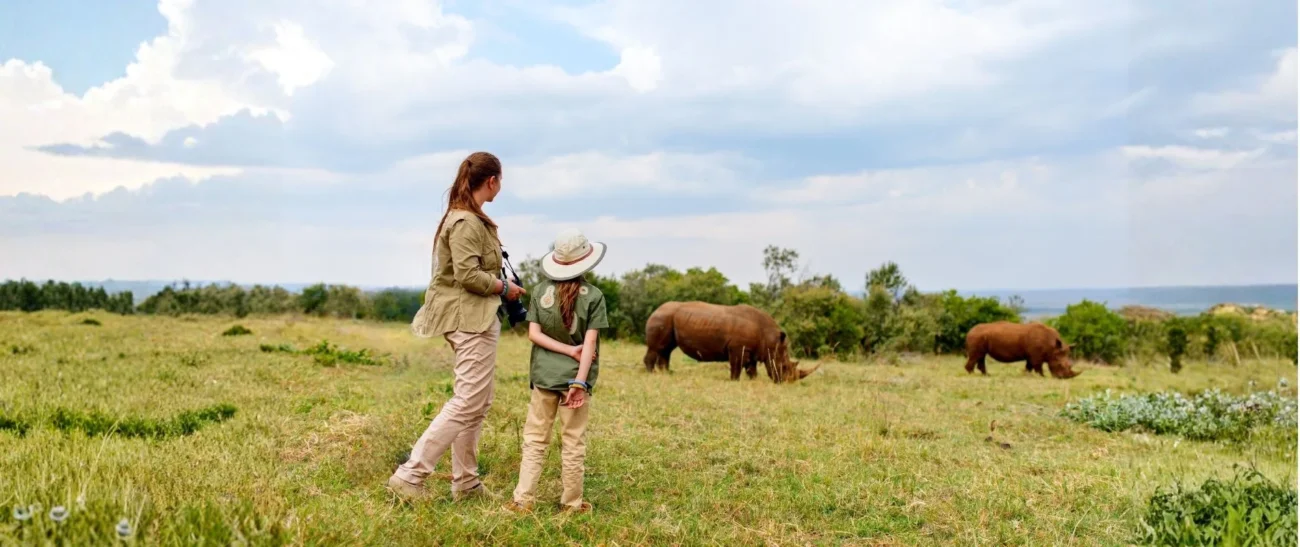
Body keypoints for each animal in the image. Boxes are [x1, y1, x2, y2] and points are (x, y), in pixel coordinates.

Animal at [643, 301, 820, 383]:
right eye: (783, 367)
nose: (786, 382)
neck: (770, 338)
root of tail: (656, 309)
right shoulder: (738, 348)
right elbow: (736, 366)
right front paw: (734, 381)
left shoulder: (752, 350)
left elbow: (751, 369)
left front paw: (753, 381)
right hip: (662, 317)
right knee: (657, 348)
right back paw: (652, 374)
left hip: (667, 317)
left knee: (666, 349)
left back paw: (666, 374)